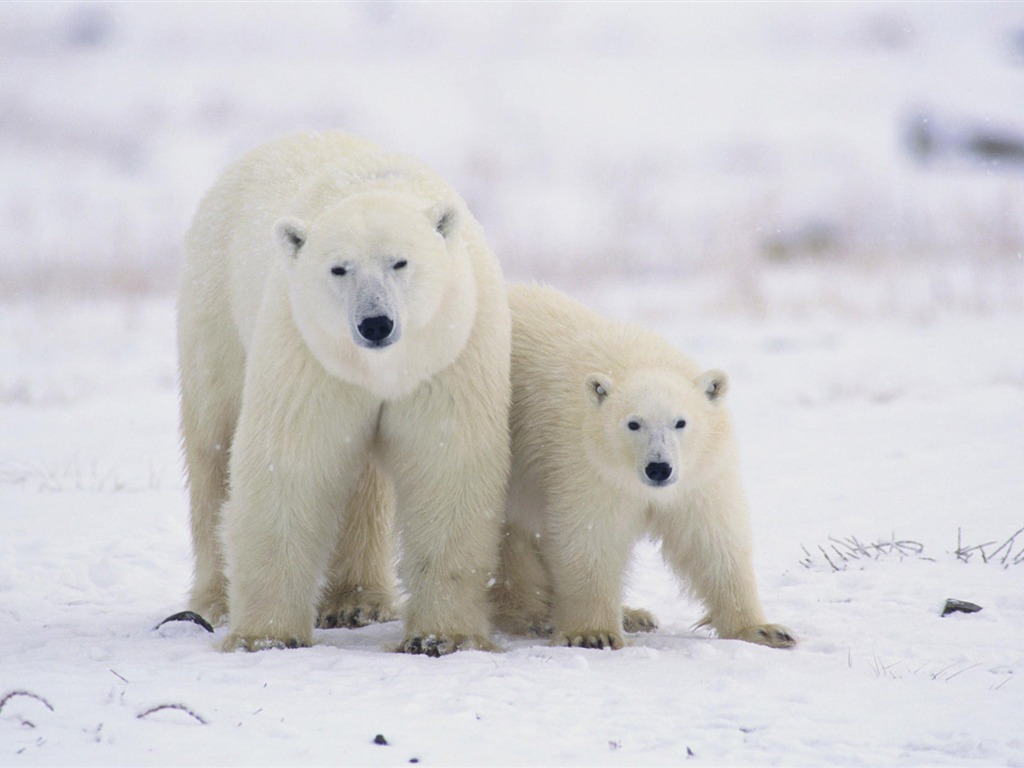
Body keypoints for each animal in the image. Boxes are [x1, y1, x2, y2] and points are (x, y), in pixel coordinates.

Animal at [180, 132, 512, 655]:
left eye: (400, 261)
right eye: (339, 269)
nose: (375, 323)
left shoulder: (449, 350)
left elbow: (447, 464)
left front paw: (441, 636)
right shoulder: (308, 352)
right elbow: (291, 462)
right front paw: (266, 636)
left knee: (363, 484)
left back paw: (357, 602)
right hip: (215, 308)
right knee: (213, 445)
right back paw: (214, 601)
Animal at [491, 286, 794, 651]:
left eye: (681, 422)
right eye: (633, 423)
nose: (659, 468)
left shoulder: (700, 474)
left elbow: (711, 539)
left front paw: (764, 630)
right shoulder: (585, 464)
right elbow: (591, 536)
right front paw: (594, 633)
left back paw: (634, 615)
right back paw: (531, 615)